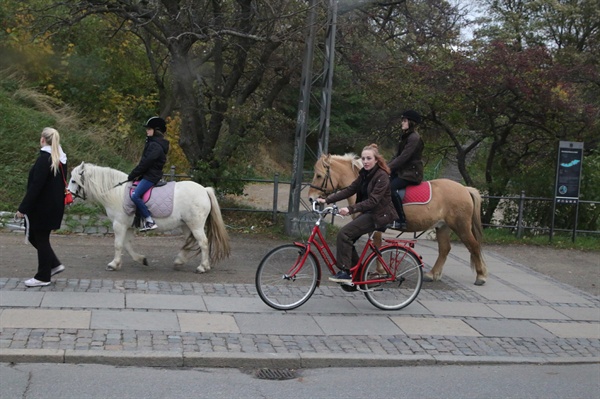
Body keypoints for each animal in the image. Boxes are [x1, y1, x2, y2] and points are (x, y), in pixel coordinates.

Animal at [67, 162, 230, 272]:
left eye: (73, 180)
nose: (68, 197)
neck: (116, 192)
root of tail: (204, 190)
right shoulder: (127, 226)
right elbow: (127, 245)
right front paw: (141, 260)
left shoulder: (119, 224)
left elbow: (118, 244)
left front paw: (113, 264)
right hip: (186, 224)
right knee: (190, 242)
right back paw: (179, 261)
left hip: (195, 224)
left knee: (203, 242)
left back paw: (203, 267)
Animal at [310, 154, 488, 288]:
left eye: (319, 175)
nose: (312, 198)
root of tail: (464, 188)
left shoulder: (374, 224)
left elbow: (376, 244)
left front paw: (380, 271)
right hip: (443, 226)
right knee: (445, 249)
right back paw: (432, 274)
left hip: (461, 226)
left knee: (473, 246)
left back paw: (481, 276)